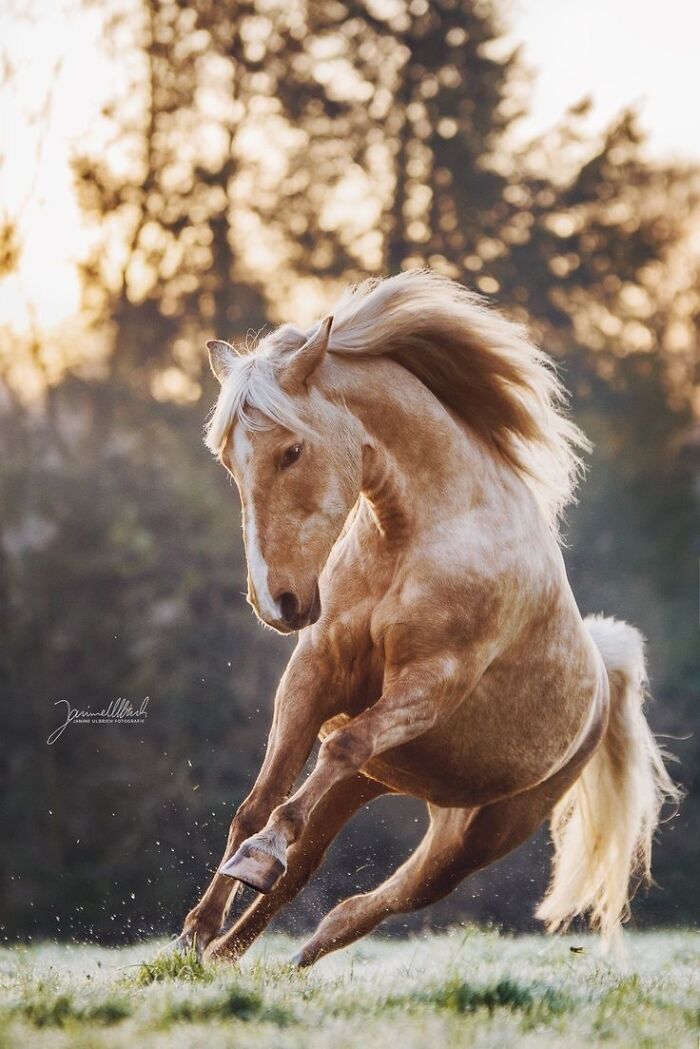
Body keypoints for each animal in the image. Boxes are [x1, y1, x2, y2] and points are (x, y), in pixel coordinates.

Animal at [176, 270, 679, 967]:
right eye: (229, 460)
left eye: (291, 451)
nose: (277, 603)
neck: (417, 535)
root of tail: (604, 685)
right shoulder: (316, 671)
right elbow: (259, 803)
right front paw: (193, 933)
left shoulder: (431, 682)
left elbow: (340, 746)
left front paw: (252, 864)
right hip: (374, 784)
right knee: (304, 866)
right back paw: (228, 951)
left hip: (467, 841)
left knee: (363, 905)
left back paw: (294, 948)